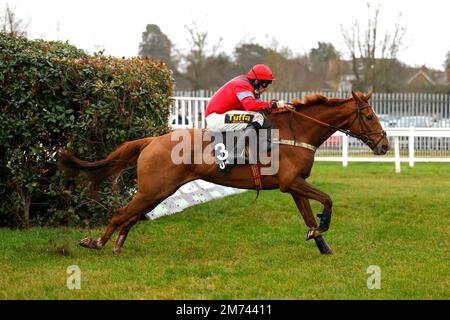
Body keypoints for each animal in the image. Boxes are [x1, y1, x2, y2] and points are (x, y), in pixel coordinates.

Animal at [58, 90, 388, 255]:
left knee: (130, 216)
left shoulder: (296, 184)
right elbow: (328, 199)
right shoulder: (290, 182)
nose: (384, 145)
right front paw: (324, 226)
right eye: (370, 116)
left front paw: (321, 242)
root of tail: (152, 140)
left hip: (157, 191)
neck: (296, 131)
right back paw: (96, 243)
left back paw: (116, 245)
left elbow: (308, 215)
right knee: (120, 214)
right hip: (154, 189)